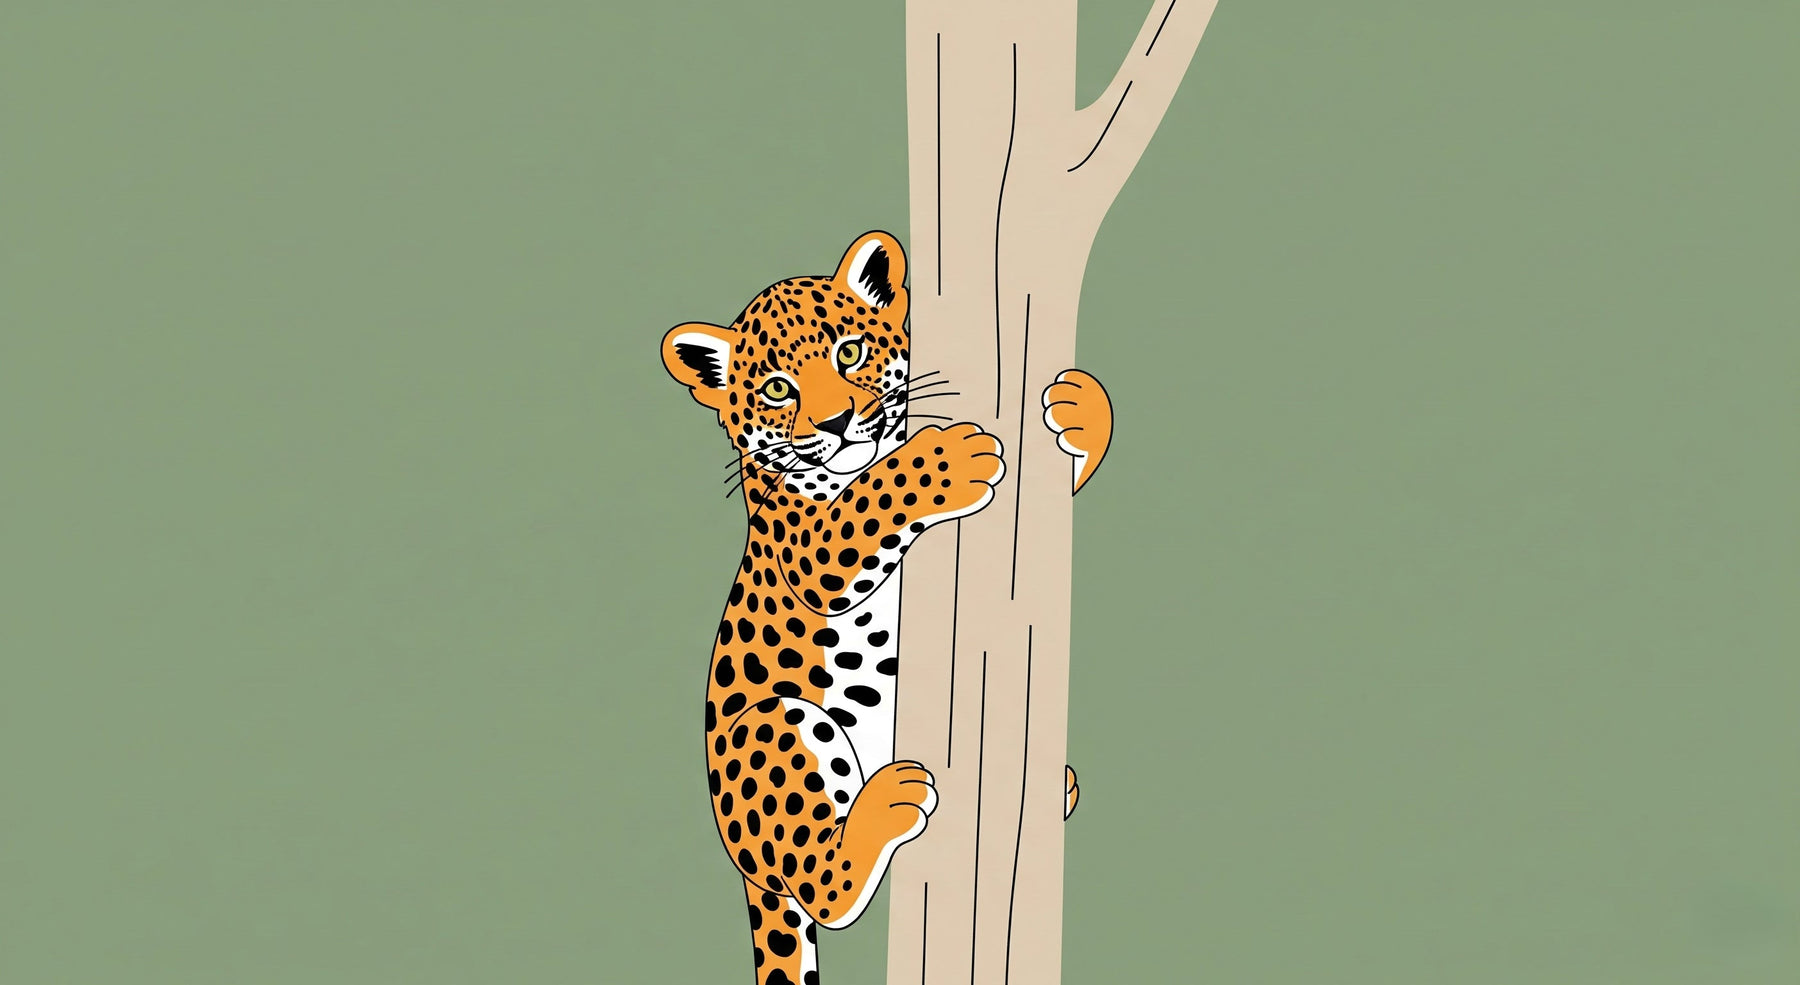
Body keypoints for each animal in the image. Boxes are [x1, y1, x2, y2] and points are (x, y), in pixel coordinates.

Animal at [659, 231, 1113, 985]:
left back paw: (1060, 785)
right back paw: (887, 805)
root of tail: (744, 868)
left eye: (850, 352)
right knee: (824, 888)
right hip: (775, 726)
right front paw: (950, 458)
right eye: (778, 389)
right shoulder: (810, 549)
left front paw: (1081, 408)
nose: (838, 421)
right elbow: (870, 500)